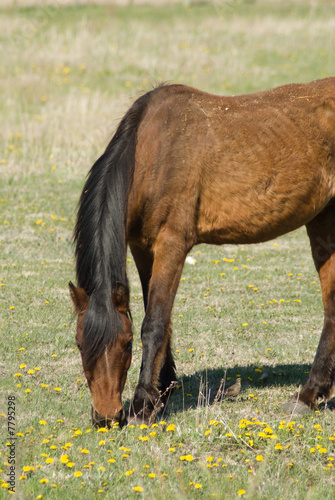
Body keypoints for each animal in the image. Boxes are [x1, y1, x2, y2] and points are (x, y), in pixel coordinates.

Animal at [69, 77, 335, 426]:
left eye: (126, 344)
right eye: (78, 343)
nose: (106, 416)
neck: (152, 154)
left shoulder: (172, 243)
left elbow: (154, 323)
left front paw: (143, 405)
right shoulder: (142, 247)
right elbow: (160, 317)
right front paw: (163, 390)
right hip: (323, 220)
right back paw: (310, 394)